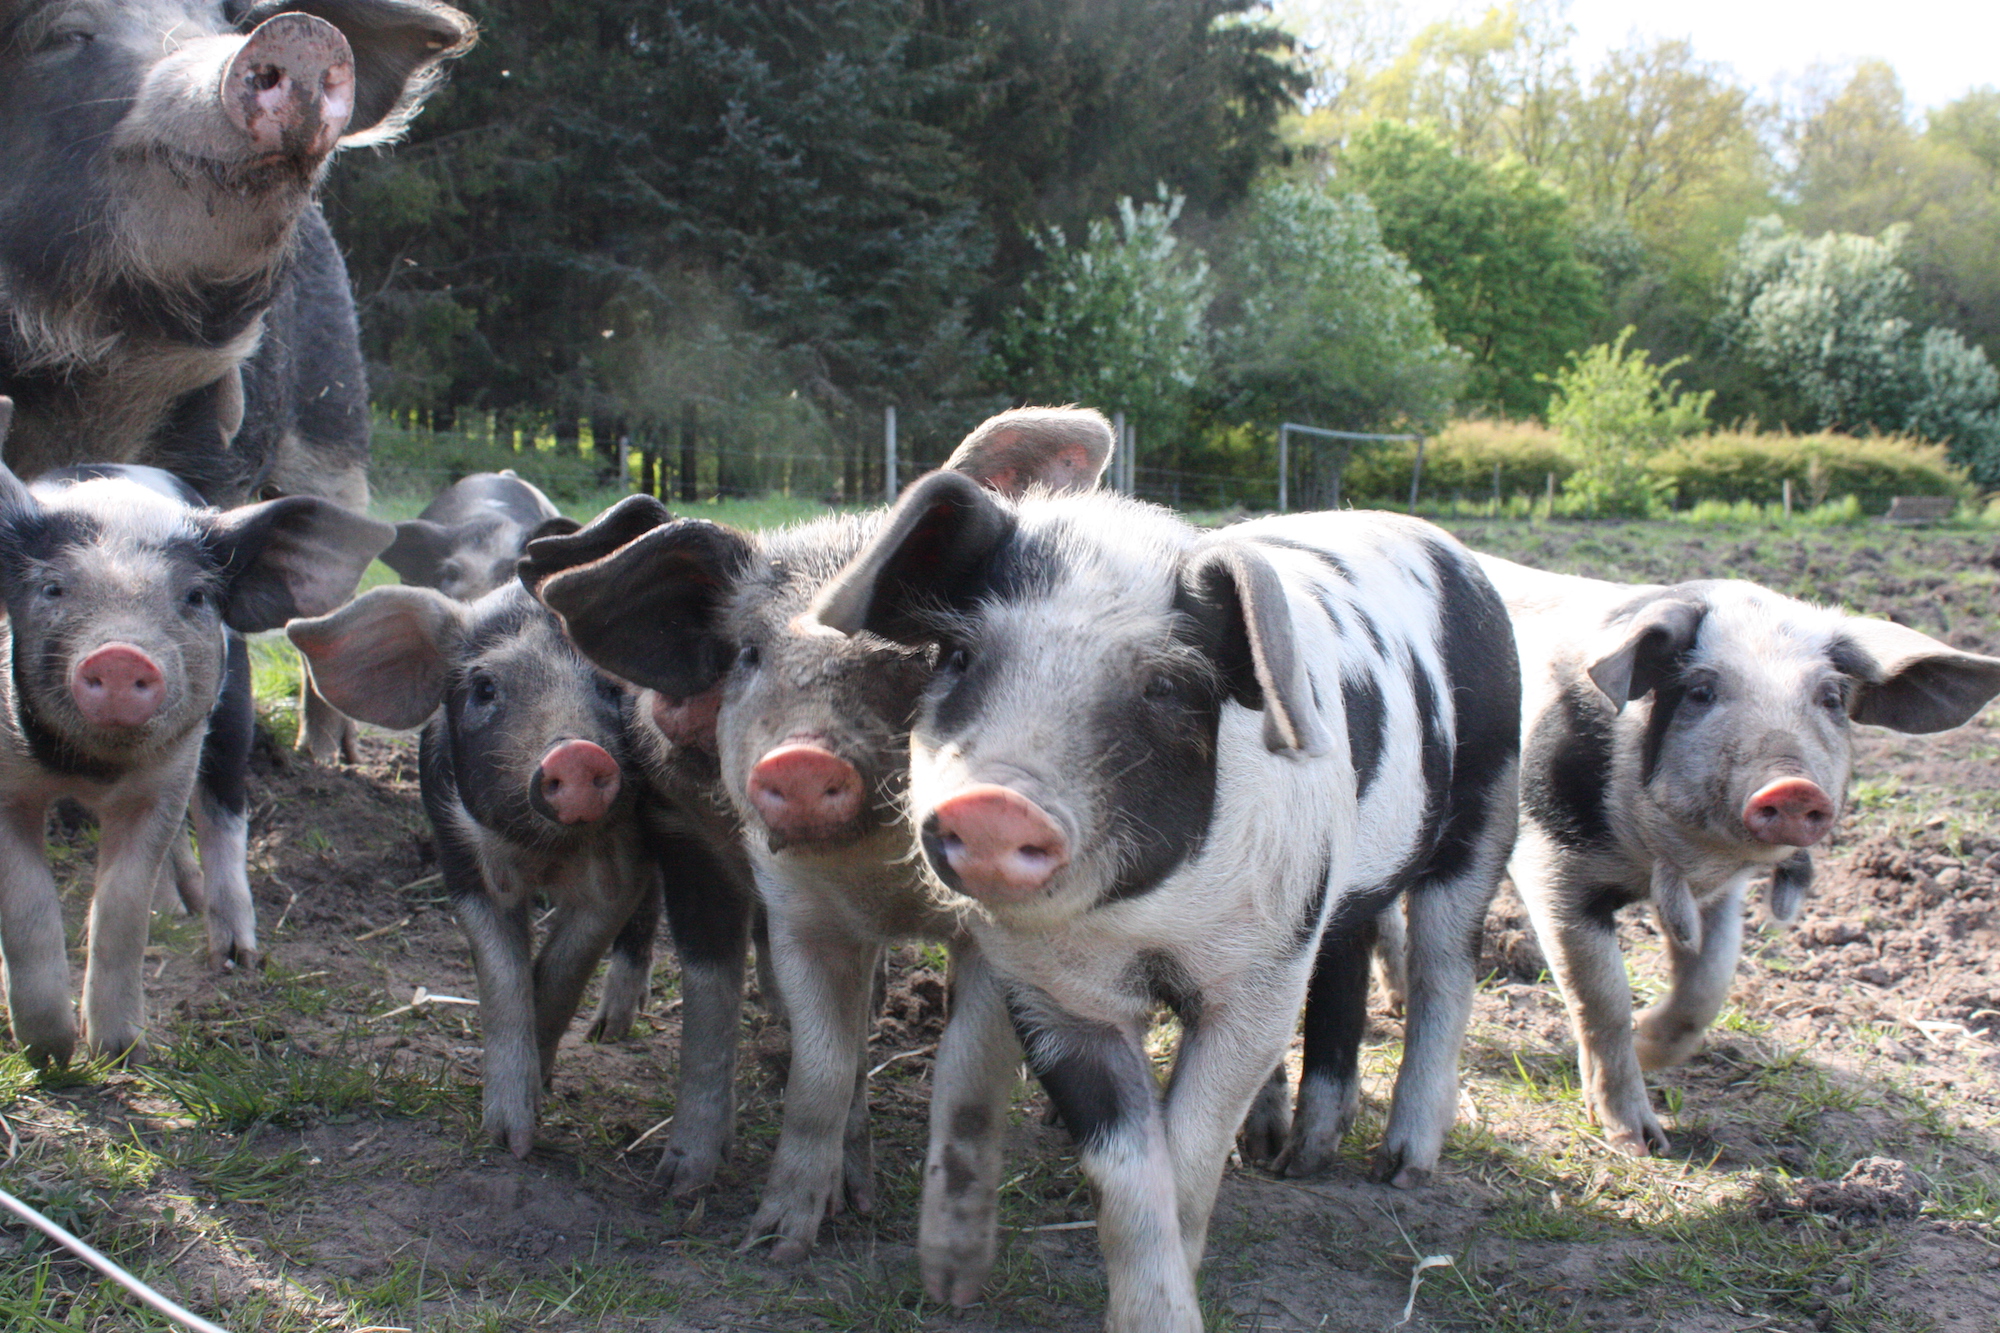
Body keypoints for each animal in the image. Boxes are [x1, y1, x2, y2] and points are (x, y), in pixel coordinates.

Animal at [0, 0, 476, 764]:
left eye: (219, 22)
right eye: (65, 34)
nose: (300, 33)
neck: (84, 379)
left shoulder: (207, 447)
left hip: (338, 425)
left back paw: (324, 759)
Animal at [0, 392, 394, 1056]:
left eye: (195, 598)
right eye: (51, 588)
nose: (120, 654)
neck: (87, 769)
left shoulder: (168, 771)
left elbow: (122, 907)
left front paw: (119, 1050)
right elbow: (28, 907)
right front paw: (50, 1051)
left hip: (231, 713)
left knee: (222, 818)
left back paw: (235, 957)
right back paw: (175, 912)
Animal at [524, 404, 1120, 1256]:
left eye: (917, 656)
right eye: (747, 653)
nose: (802, 755)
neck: (883, 880)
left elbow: (963, 1071)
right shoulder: (758, 885)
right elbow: (811, 1057)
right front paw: (757, 1228)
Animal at [804, 474, 1520, 1328]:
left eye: (1167, 686)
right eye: (962, 656)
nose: (996, 803)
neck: (1145, 924)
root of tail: (1454, 552)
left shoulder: (1262, 976)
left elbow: (1190, 1148)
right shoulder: (1052, 995)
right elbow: (1127, 1171)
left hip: (1489, 795)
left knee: (1447, 969)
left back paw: (1400, 1168)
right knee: (1348, 953)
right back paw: (1300, 1156)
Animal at [1480, 548, 2000, 1152]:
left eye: (1830, 699)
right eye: (1702, 691)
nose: (1792, 787)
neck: (1675, 860)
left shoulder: (1721, 895)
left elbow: (1708, 986)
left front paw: (1650, 1045)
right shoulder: (1550, 861)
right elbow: (1601, 997)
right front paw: (1641, 1143)